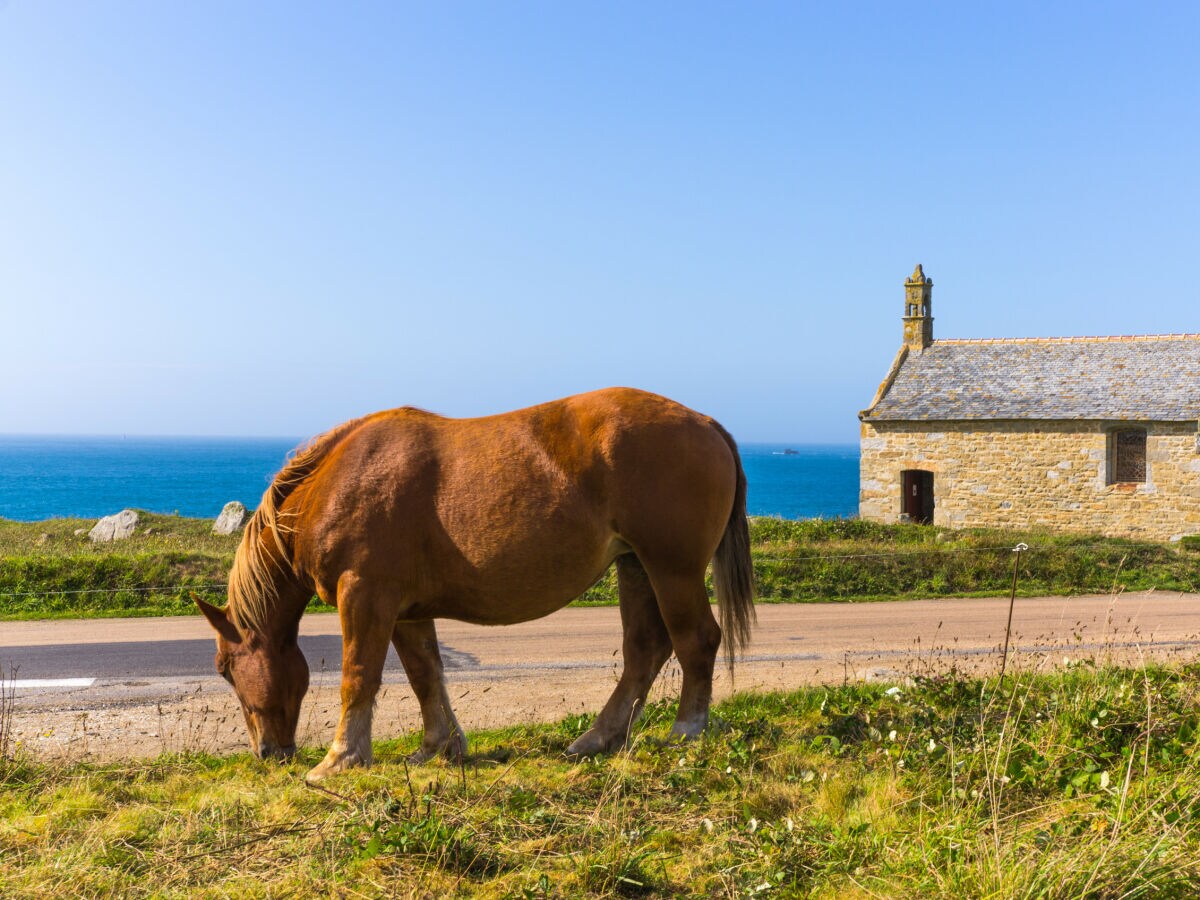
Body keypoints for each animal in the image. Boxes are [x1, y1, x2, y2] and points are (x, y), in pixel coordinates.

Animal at [196, 388, 758, 782]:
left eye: (224, 669)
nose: (267, 753)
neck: (333, 484)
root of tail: (707, 424)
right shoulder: (407, 610)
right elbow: (427, 674)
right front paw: (437, 746)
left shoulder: (365, 596)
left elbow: (359, 676)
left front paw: (341, 758)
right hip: (636, 566)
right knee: (645, 649)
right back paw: (598, 739)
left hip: (671, 567)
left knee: (696, 640)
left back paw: (685, 730)